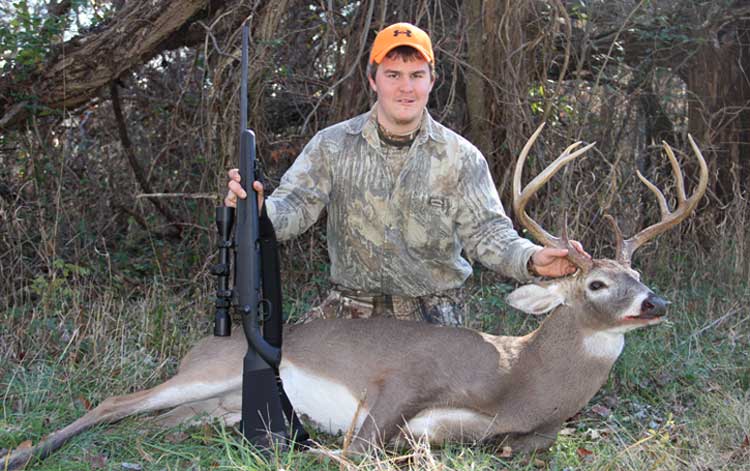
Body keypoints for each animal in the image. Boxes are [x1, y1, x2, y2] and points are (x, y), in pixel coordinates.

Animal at [3, 125, 708, 469]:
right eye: (596, 283)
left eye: (641, 278)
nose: (655, 305)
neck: (520, 375)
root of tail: (206, 343)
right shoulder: (400, 379)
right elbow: (361, 449)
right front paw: (320, 451)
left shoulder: (525, 427)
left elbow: (526, 443)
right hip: (203, 373)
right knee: (116, 402)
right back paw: (23, 452)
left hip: (220, 401)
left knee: (158, 422)